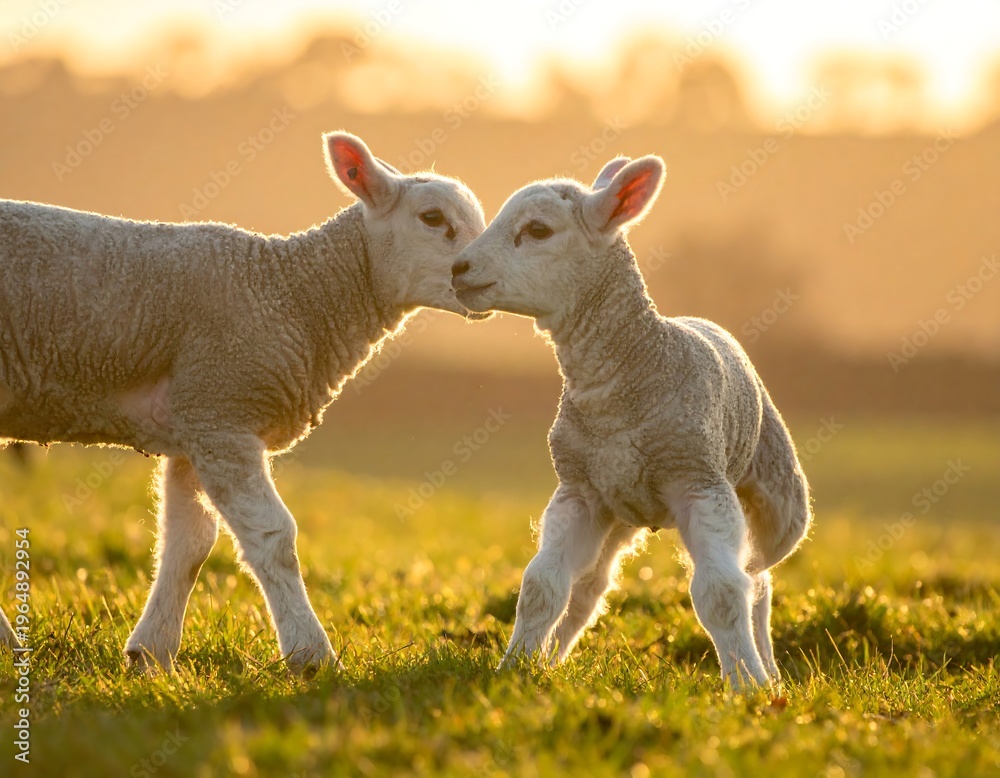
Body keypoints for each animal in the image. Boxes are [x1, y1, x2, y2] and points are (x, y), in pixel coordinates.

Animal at [0, 131, 487, 672]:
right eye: (432, 218)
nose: (480, 274)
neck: (297, 294)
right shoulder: (223, 412)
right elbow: (274, 541)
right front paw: (312, 656)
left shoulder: (196, 420)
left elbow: (189, 544)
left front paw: (152, 653)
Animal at [450, 155, 811, 687]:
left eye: (538, 229)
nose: (459, 268)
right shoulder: (579, 489)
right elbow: (541, 586)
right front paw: (515, 666)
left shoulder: (700, 479)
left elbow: (723, 594)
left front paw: (746, 685)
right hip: (618, 511)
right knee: (589, 587)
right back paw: (552, 658)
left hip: (779, 504)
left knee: (756, 581)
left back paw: (768, 672)